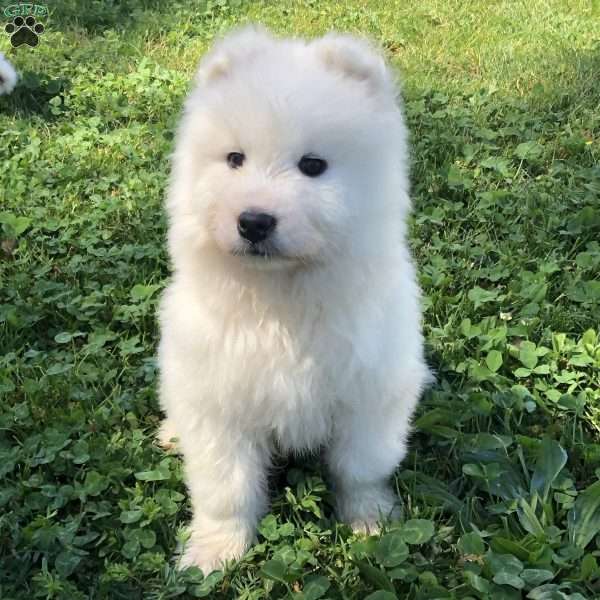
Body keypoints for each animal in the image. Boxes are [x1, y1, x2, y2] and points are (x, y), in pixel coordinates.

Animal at [158, 27, 432, 572]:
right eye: (235, 159)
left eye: (313, 166)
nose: (254, 221)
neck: (281, 300)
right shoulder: (219, 406)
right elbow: (226, 489)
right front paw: (215, 551)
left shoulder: (370, 395)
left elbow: (360, 469)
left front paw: (370, 520)